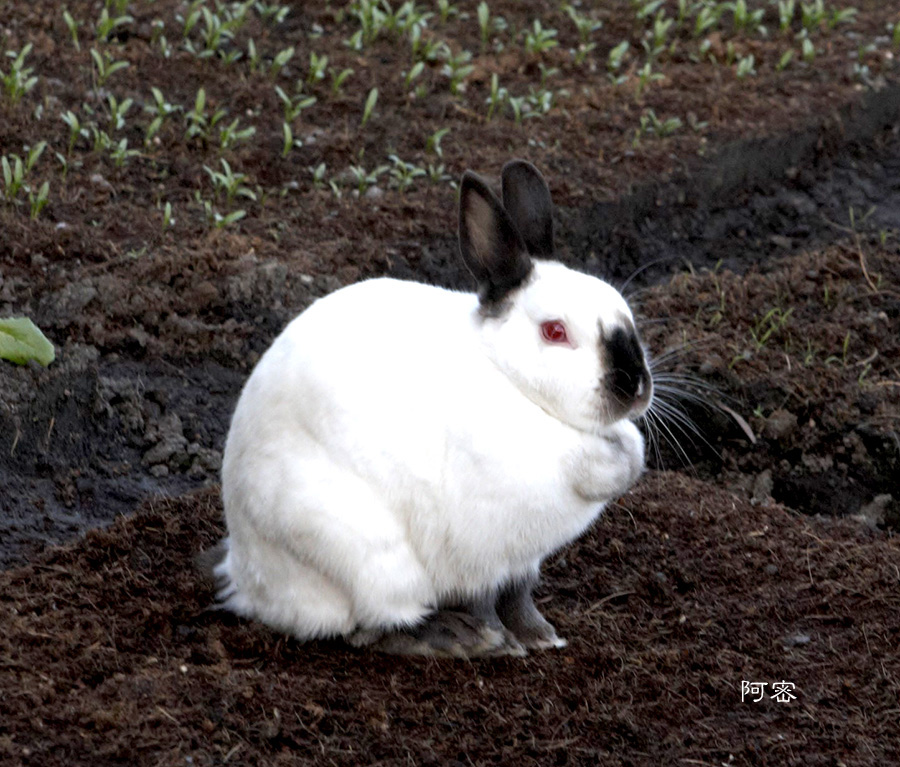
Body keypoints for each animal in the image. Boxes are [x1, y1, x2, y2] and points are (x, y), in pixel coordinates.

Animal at [214, 159, 652, 656]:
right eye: (555, 332)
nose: (636, 386)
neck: (515, 384)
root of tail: (248, 581)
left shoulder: (523, 561)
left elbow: (519, 596)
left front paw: (540, 636)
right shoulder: (478, 547)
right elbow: (483, 600)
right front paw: (499, 641)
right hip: (367, 556)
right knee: (372, 628)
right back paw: (453, 638)